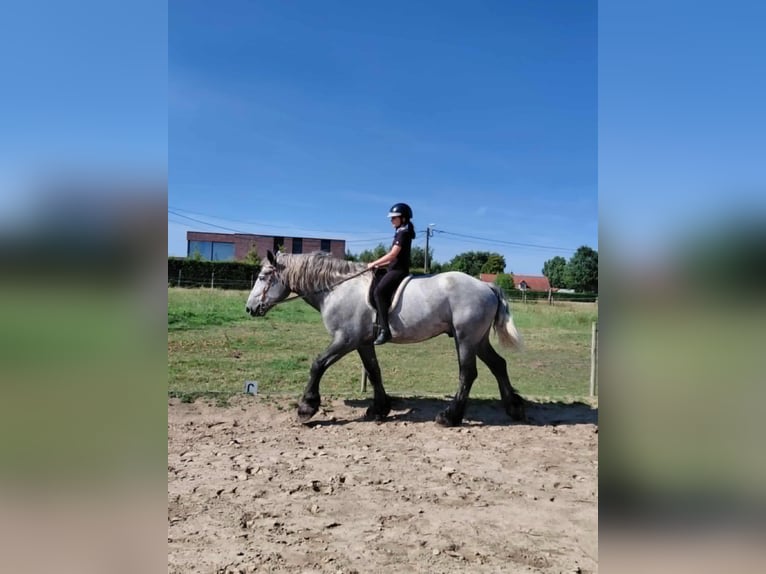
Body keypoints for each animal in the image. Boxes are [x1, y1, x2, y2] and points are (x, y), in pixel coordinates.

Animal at [245, 250, 526, 426]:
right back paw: (514, 407)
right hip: (478, 340)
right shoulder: (362, 342)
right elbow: (374, 371)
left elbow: (318, 364)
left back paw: (450, 417)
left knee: (467, 374)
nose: (249, 309)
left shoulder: (345, 339)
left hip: (466, 339)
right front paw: (379, 409)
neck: (337, 288)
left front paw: (307, 407)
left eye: (262, 277)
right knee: (498, 365)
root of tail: (486, 286)